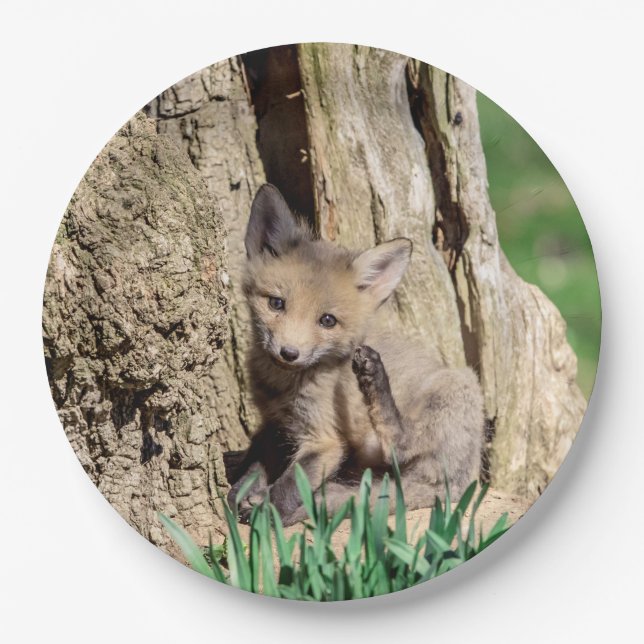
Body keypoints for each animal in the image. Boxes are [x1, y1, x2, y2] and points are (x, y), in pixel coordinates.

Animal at [225, 184, 484, 526]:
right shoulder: (276, 422)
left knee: (401, 444)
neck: (284, 386)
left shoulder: (325, 441)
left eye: (327, 320)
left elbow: (290, 485)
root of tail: (461, 482)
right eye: (276, 304)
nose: (289, 353)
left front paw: (267, 514)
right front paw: (244, 490)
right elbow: (257, 459)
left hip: (457, 387)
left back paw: (375, 378)